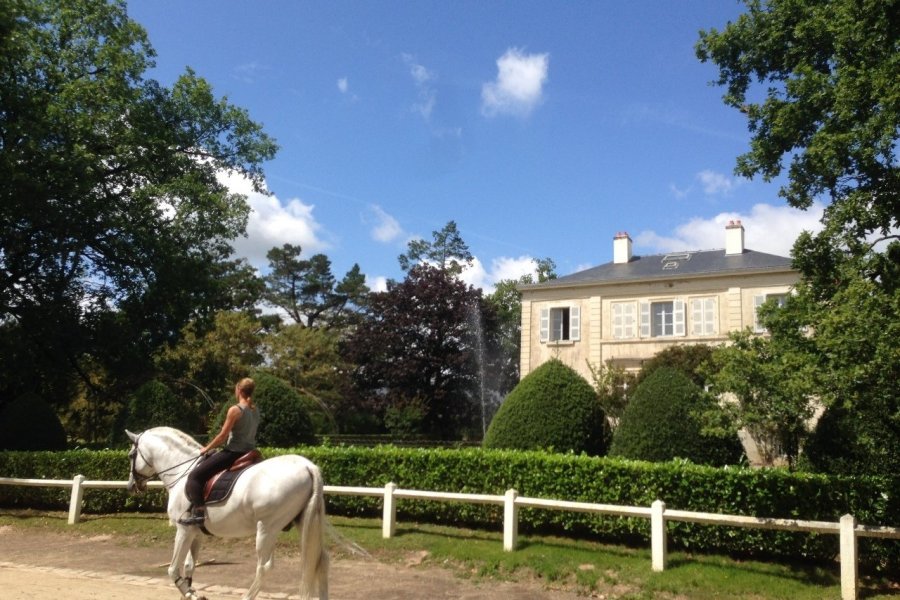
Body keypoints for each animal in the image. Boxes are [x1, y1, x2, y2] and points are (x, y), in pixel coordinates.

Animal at [123, 426, 326, 600]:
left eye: (131, 455)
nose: (132, 486)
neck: (181, 472)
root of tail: (307, 466)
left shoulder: (183, 530)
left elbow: (172, 569)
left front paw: (189, 593)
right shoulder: (195, 532)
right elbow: (189, 565)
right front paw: (190, 592)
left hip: (266, 529)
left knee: (264, 567)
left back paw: (247, 596)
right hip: (300, 524)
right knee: (320, 561)